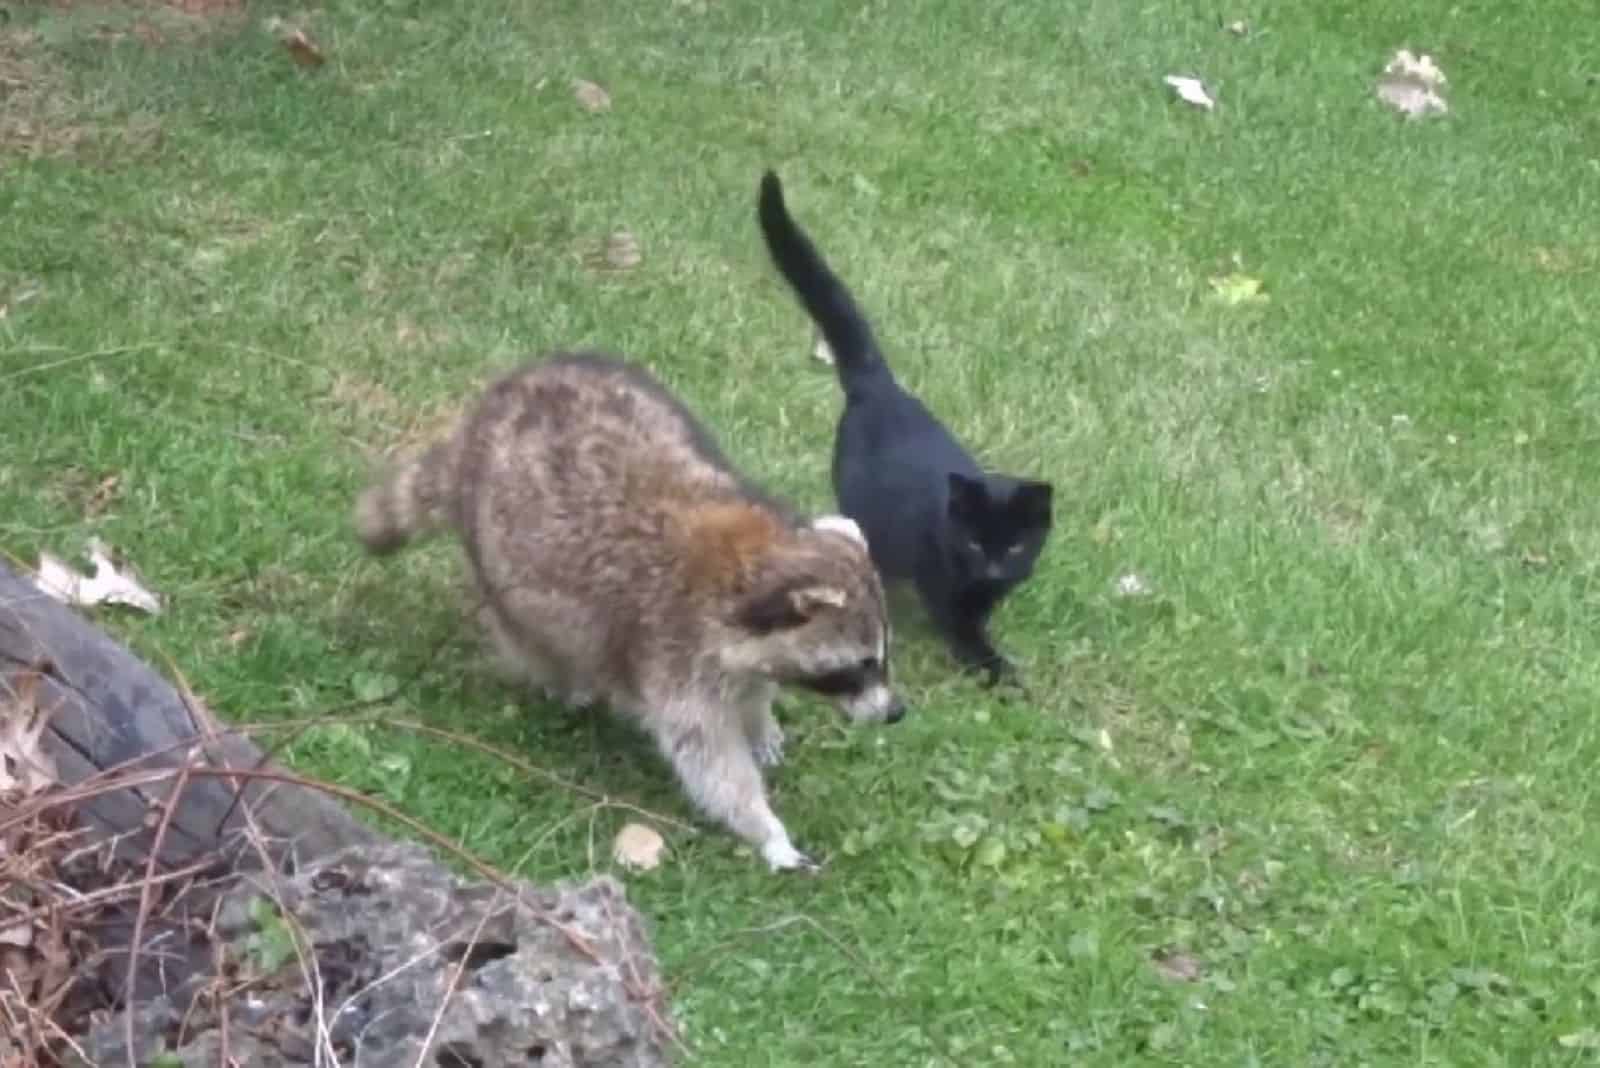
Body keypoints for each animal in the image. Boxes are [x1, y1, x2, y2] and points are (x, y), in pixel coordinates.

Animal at [355, 354, 908, 869]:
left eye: (882, 656)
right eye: (859, 664)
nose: (896, 713)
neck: (749, 566)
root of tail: (475, 427)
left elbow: (752, 691)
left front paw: (758, 718)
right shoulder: (676, 654)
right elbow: (710, 762)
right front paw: (765, 829)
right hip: (496, 565)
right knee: (531, 638)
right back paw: (564, 681)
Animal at [758, 167, 1056, 684]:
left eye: (1017, 546)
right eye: (974, 542)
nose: (994, 569)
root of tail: (881, 387)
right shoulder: (944, 590)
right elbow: (966, 634)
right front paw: (1001, 674)